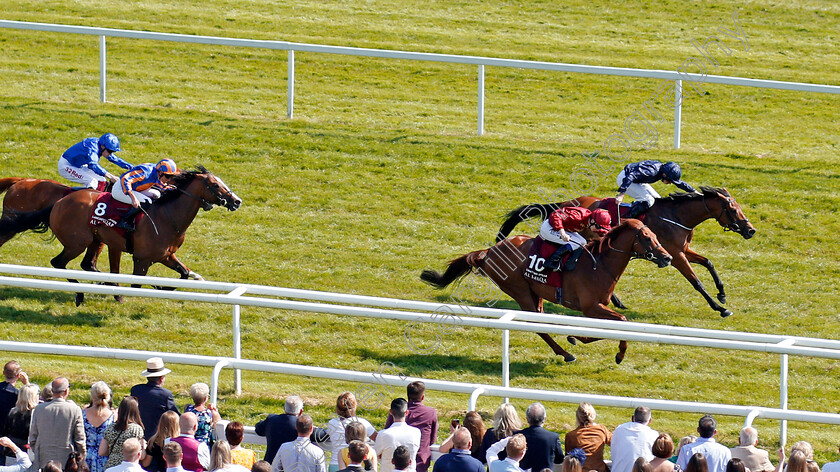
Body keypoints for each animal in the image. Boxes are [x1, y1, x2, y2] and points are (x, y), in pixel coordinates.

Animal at [2, 168, 240, 304]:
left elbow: (184, 273)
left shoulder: (166, 256)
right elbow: (136, 284)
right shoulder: (142, 259)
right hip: (78, 242)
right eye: (215, 184)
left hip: (93, 239)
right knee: (58, 262)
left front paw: (166, 286)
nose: (237, 201)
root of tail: (59, 202)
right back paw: (80, 294)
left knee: (84, 264)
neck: (168, 216)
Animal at [424, 219, 672, 364]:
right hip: (521, 291)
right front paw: (619, 353)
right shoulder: (591, 307)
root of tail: (489, 251)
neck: (599, 264)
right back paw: (566, 353)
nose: (667, 257)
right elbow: (622, 320)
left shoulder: (596, 307)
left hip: (537, 293)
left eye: (656, 236)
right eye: (647, 238)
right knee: (538, 326)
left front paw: (576, 336)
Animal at [496, 187, 756, 318]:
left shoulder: (681, 250)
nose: (751, 230)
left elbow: (709, 262)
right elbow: (696, 281)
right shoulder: (676, 255)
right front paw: (720, 308)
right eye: (733, 209)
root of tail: (566, 203)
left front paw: (722, 295)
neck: (676, 216)